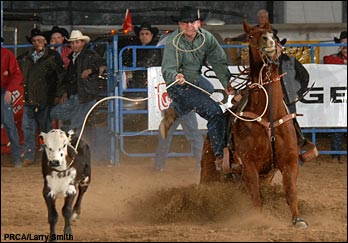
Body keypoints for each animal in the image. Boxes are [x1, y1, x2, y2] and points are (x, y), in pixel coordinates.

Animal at [200, 20, 308, 228]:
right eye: (250, 35)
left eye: (272, 33)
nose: (268, 40)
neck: (269, 117)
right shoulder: (249, 165)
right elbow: (256, 197)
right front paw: (258, 220)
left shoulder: (289, 161)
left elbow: (291, 192)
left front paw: (298, 219)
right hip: (208, 169)